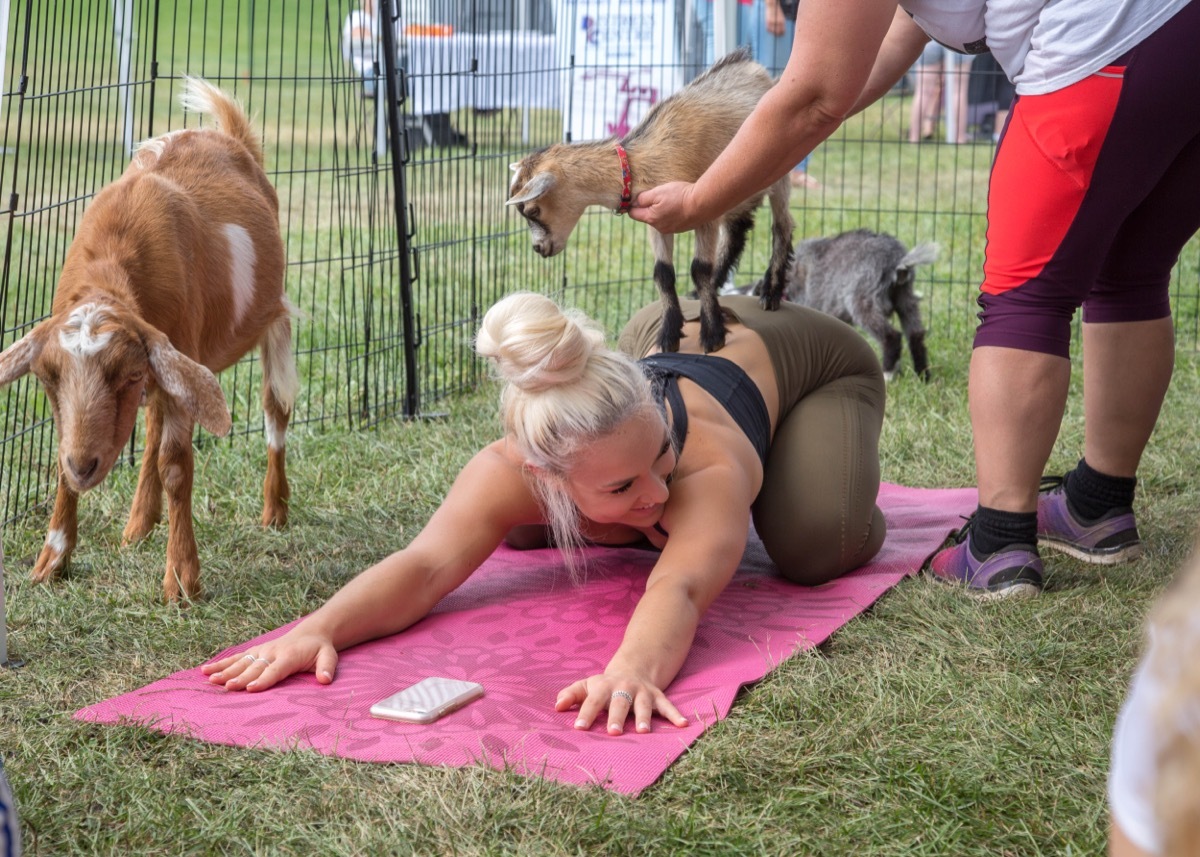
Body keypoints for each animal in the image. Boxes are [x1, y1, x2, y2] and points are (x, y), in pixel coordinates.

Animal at [508, 47, 796, 350]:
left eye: (532, 210)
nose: (538, 248)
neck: (637, 165)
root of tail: (756, 68)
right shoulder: (659, 219)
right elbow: (663, 273)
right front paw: (669, 334)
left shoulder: (704, 212)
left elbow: (699, 269)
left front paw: (713, 334)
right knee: (738, 231)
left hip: (778, 172)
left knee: (782, 225)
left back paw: (771, 292)